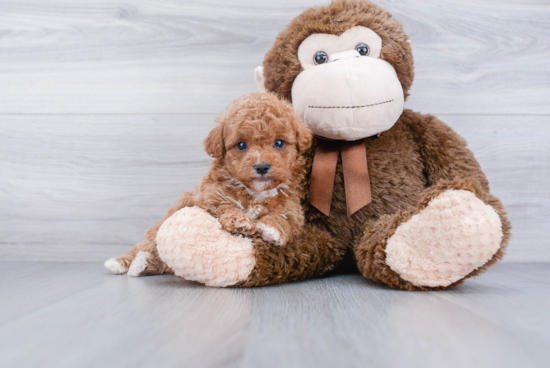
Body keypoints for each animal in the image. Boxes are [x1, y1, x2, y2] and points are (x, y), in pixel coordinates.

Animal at [103, 91, 310, 276]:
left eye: (279, 143)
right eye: (241, 145)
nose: (262, 166)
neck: (255, 193)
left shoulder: (293, 210)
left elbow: (284, 219)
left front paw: (272, 230)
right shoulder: (207, 198)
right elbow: (225, 204)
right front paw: (240, 221)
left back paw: (143, 264)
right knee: (146, 244)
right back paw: (124, 262)